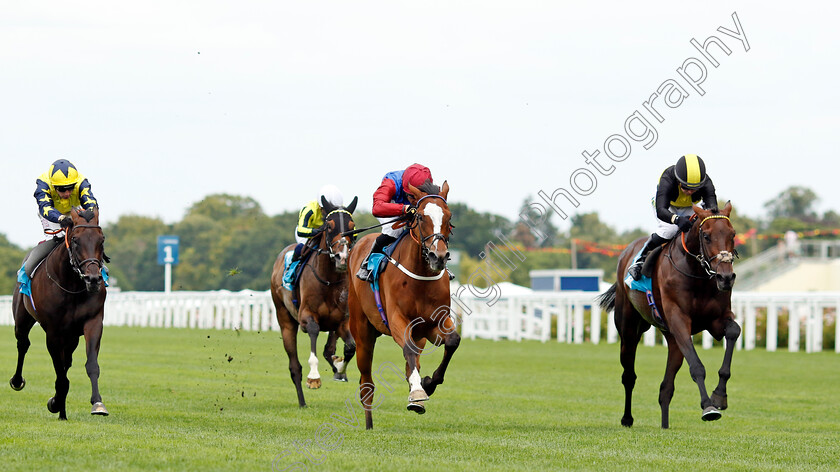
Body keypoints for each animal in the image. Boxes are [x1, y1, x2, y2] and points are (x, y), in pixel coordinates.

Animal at [272, 197, 358, 408]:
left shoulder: (342, 321)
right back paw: (302, 401)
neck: (328, 280)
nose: (342, 257)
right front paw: (314, 377)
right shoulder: (307, 317)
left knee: (329, 349)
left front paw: (340, 369)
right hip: (285, 319)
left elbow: (350, 348)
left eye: (352, 227)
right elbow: (313, 332)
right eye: (329, 226)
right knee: (294, 366)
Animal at [596, 201, 740, 430]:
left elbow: (734, 331)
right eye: (706, 236)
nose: (726, 277)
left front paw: (719, 396)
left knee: (666, 388)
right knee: (629, 376)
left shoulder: (716, 320)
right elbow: (696, 367)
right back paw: (627, 418)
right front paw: (708, 407)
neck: (697, 275)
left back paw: (664, 425)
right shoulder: (679, 320)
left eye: (732, 234)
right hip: (629, 330)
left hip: (672, 340)